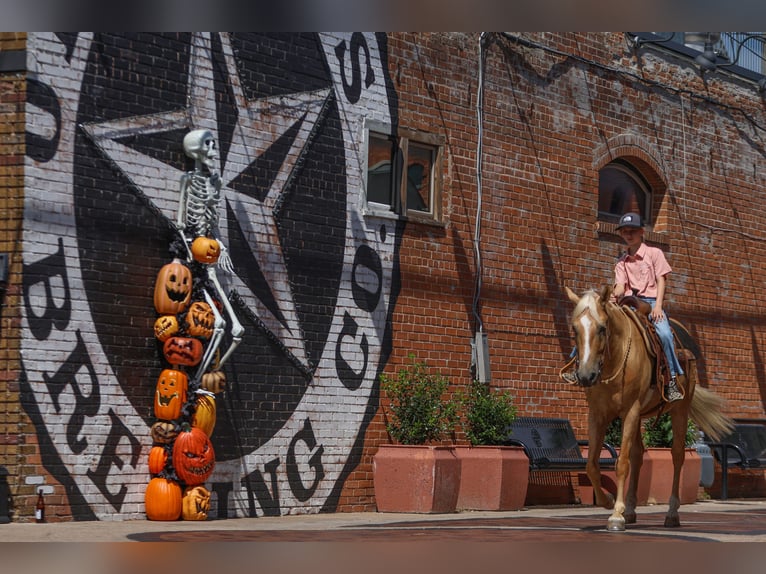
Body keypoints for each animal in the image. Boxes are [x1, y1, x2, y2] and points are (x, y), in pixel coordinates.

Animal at [568, 286, 736, 532]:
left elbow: (622, 463)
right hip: (639, 416)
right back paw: (630, 510)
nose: (585, 375)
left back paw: (672, 514)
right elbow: (591, 465)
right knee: (639, 455)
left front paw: (616, 516)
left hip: (679, 411)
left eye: (602, 328)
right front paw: (608, 501)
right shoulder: (597, 414)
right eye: (574, 328)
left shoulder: (629, 411)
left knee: (677, 456)